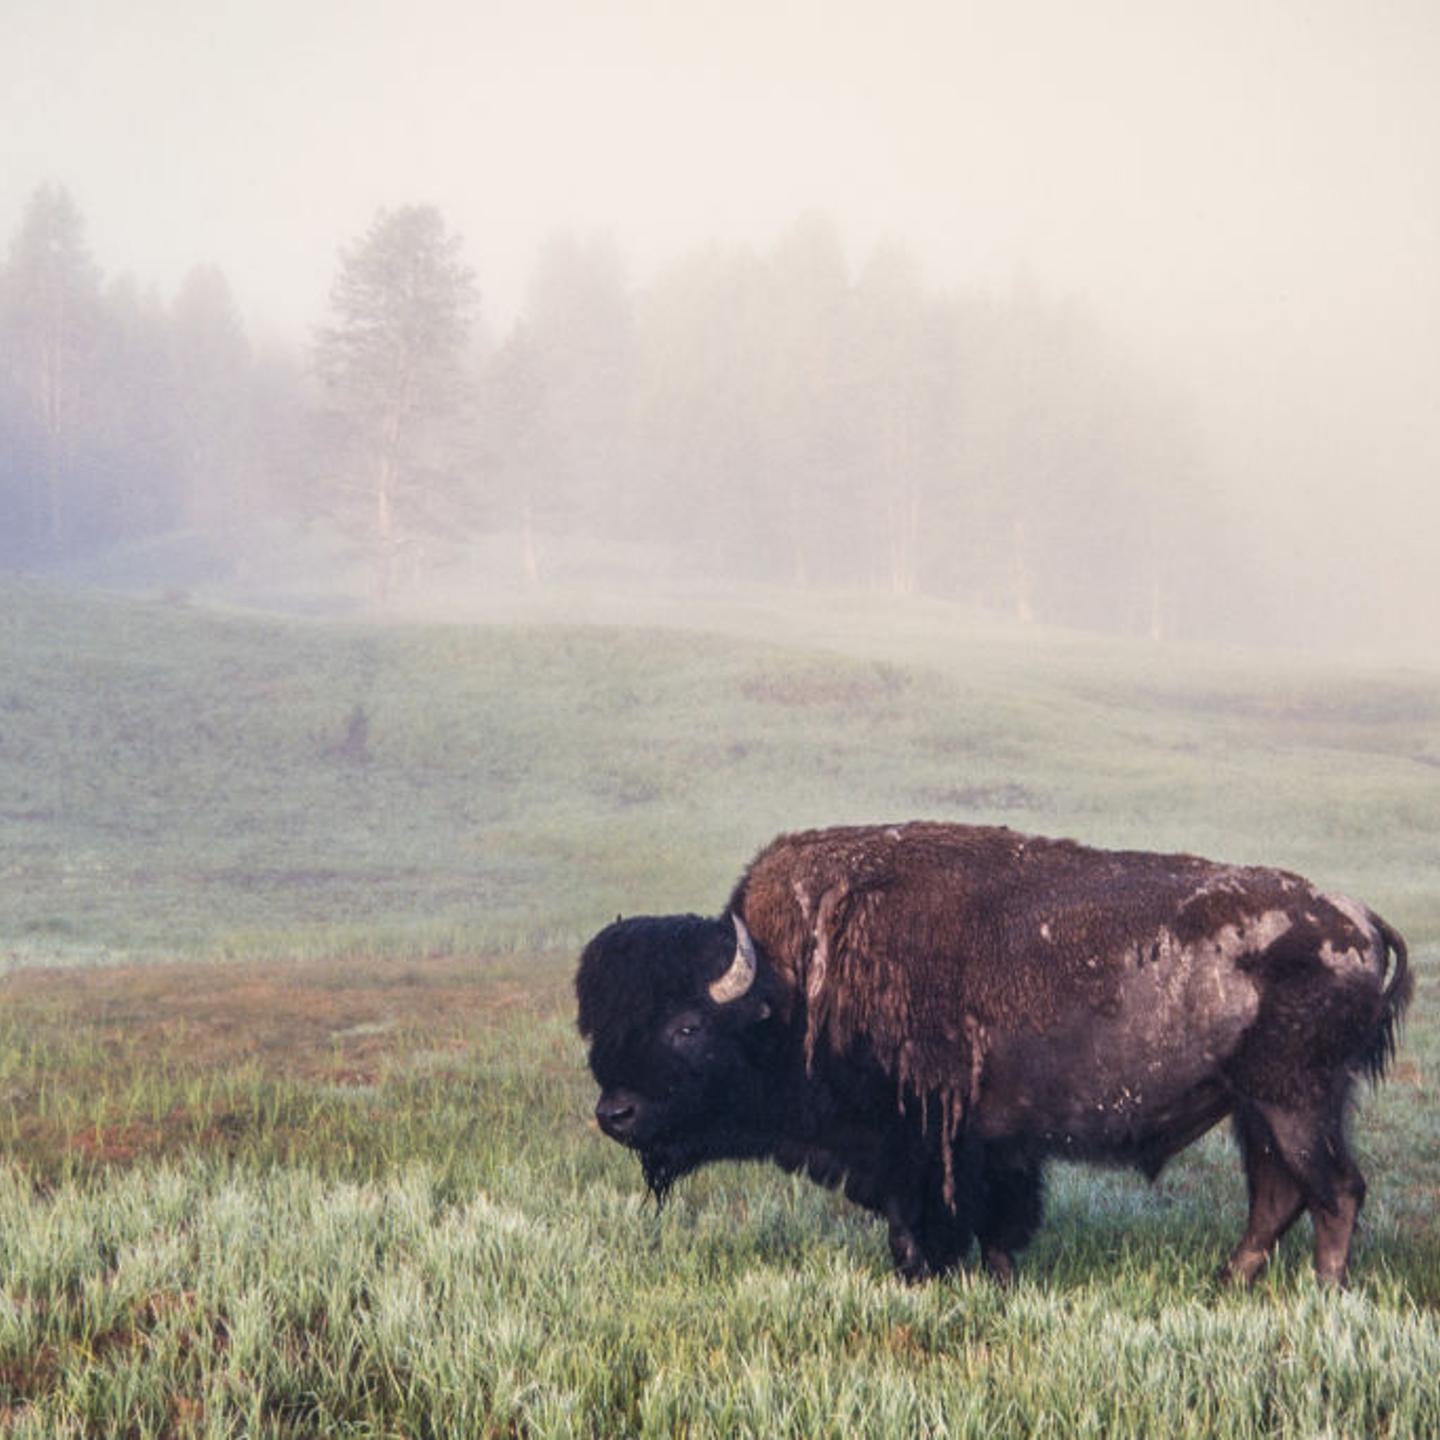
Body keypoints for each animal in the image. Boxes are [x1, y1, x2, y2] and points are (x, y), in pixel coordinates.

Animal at [576, 823, 1411, 1287]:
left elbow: (935, 1226)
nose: (614, 1113)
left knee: (1335, 1191)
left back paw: (1323, 1295)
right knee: (1276, 1197)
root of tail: (1358, 920)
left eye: (687, 1025)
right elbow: (1000, 1229)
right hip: (1254, 1109)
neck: (792, 986)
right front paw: (1000, 1284)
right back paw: (1225, 1285)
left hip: (1295, 1101)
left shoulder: (927, 1150)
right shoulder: (997, 1148)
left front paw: (926, 1278)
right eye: (599, 1025)